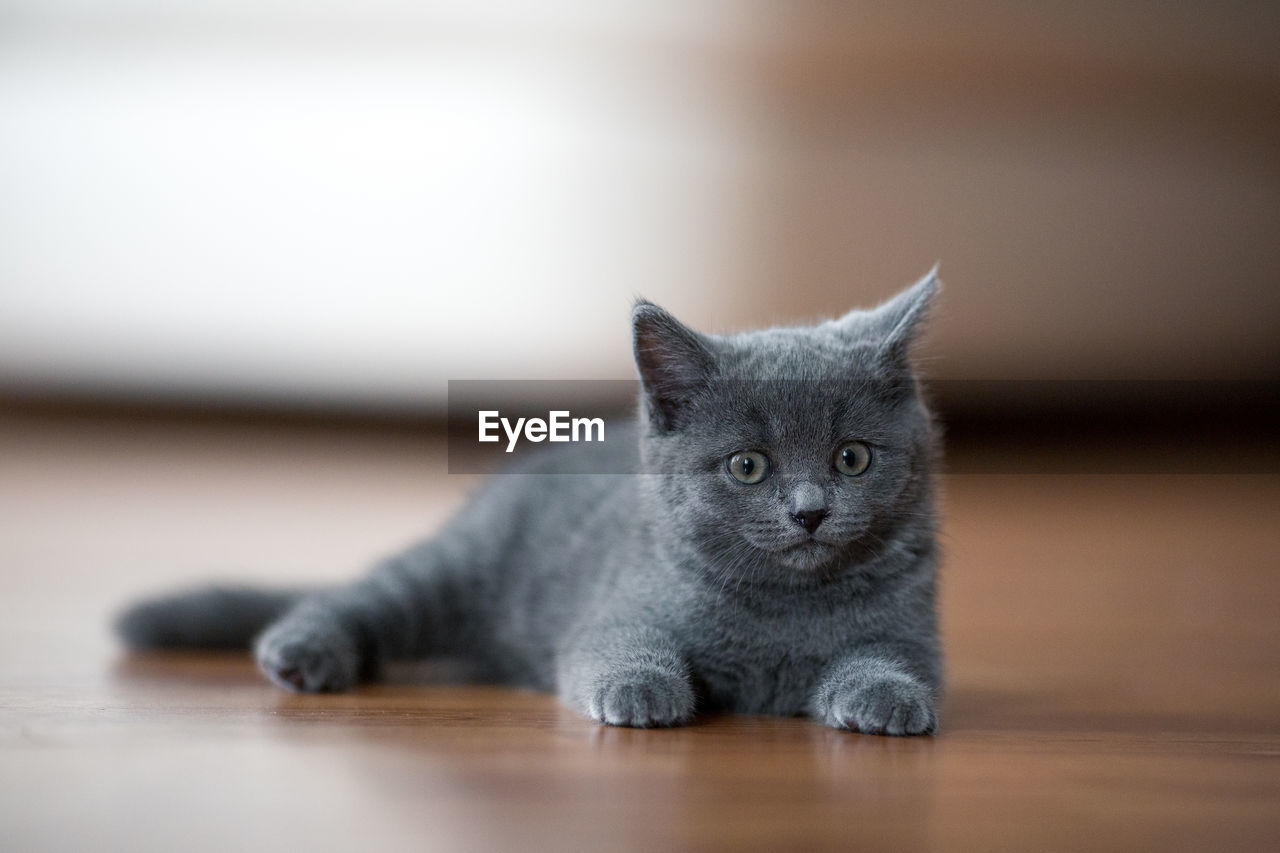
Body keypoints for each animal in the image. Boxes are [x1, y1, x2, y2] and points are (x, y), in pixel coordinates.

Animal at [117, 270, 942, 732]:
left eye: (852, 457)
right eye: (747, 465)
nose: (809, 510)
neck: (783, 610)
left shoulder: (915, 633)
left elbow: (890, 659)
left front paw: (886, 699)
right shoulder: (618, 607)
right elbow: (617, 644)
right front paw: (641, 688)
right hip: (457, 567)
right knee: (360, 593)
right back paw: (301, 652)